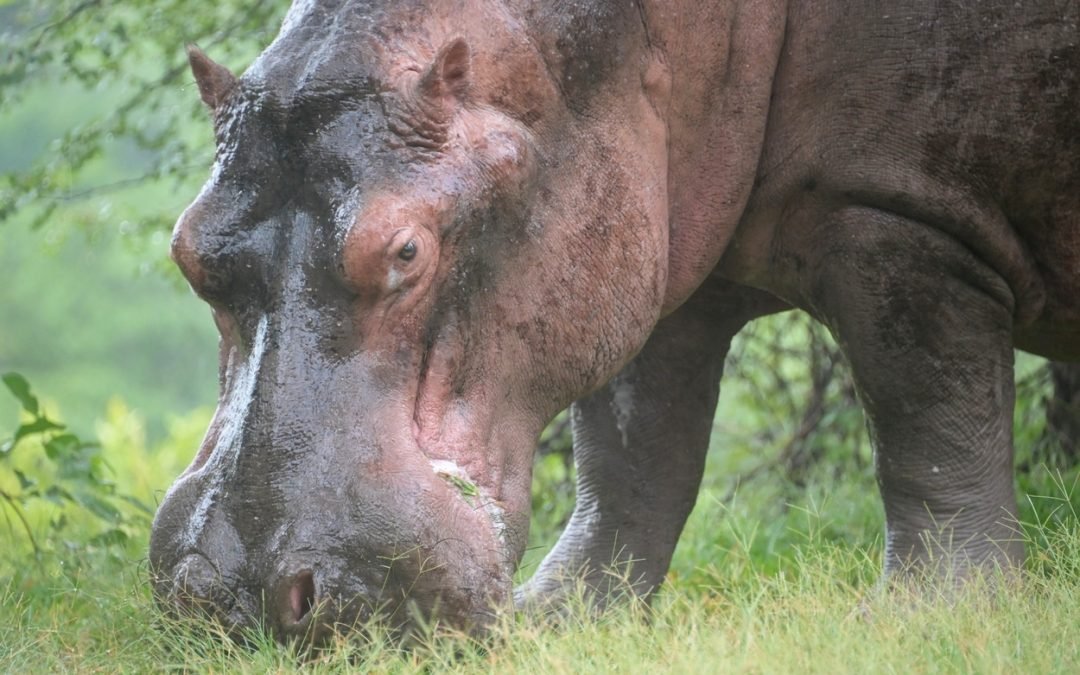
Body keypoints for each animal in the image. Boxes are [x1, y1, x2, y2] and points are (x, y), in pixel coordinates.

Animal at [150, 0, 1080, 641]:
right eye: (186, 249)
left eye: (406, 249)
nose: (236, 590)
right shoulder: (640, 249)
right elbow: (635, 455)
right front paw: (562, 619)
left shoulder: (895, 215)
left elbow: (928, 424)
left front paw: (930, 615)